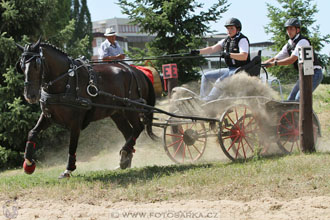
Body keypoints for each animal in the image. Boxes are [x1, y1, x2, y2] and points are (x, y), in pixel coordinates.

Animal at [16, 38, 157, 178]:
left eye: (37, 64)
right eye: (21, 66)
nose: (30, 95)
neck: (67, 81)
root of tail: (136, 71)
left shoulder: (75, 122)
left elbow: (72, 145)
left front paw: (68, 169)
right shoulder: (48, 116)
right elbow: (32, 133)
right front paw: (28, 164)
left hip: (131, 108)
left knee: (138, 128)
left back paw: (124, 153)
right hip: (117, 113)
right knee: (129, 132)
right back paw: (125, 159)